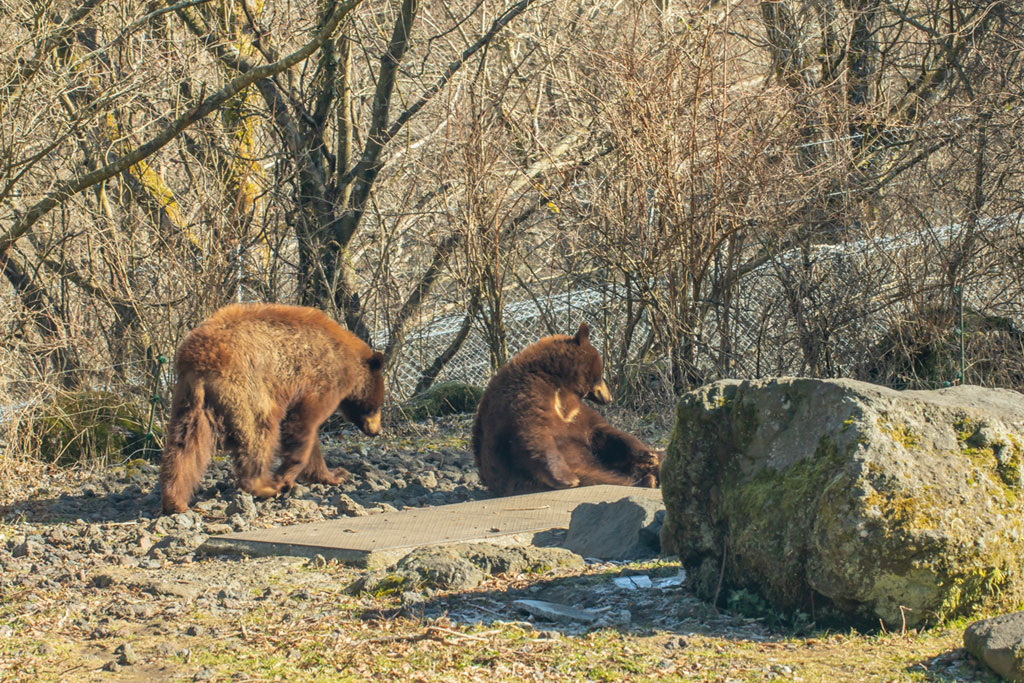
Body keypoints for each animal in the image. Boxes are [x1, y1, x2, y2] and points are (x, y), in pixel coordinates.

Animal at [157, 305, 385, 511]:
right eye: (377, 405)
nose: (377, 431)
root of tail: (199, 359)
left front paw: (334, 474)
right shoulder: (320, 381)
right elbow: (303, 425)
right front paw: (287, 476)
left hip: (190, 400)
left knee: (184, 444)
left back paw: (174, 500)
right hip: (247, 388)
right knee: (260, 432)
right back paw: (266, 485)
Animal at [471, 323, 663, 493]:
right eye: (601, 373)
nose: (609, 398)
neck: (558, 382)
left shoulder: (576, 413)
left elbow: (603, 433)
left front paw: (648, 455)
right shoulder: (525, 398)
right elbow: (534, 435)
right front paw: (566, 478)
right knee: (599, 478)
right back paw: (646, 480)